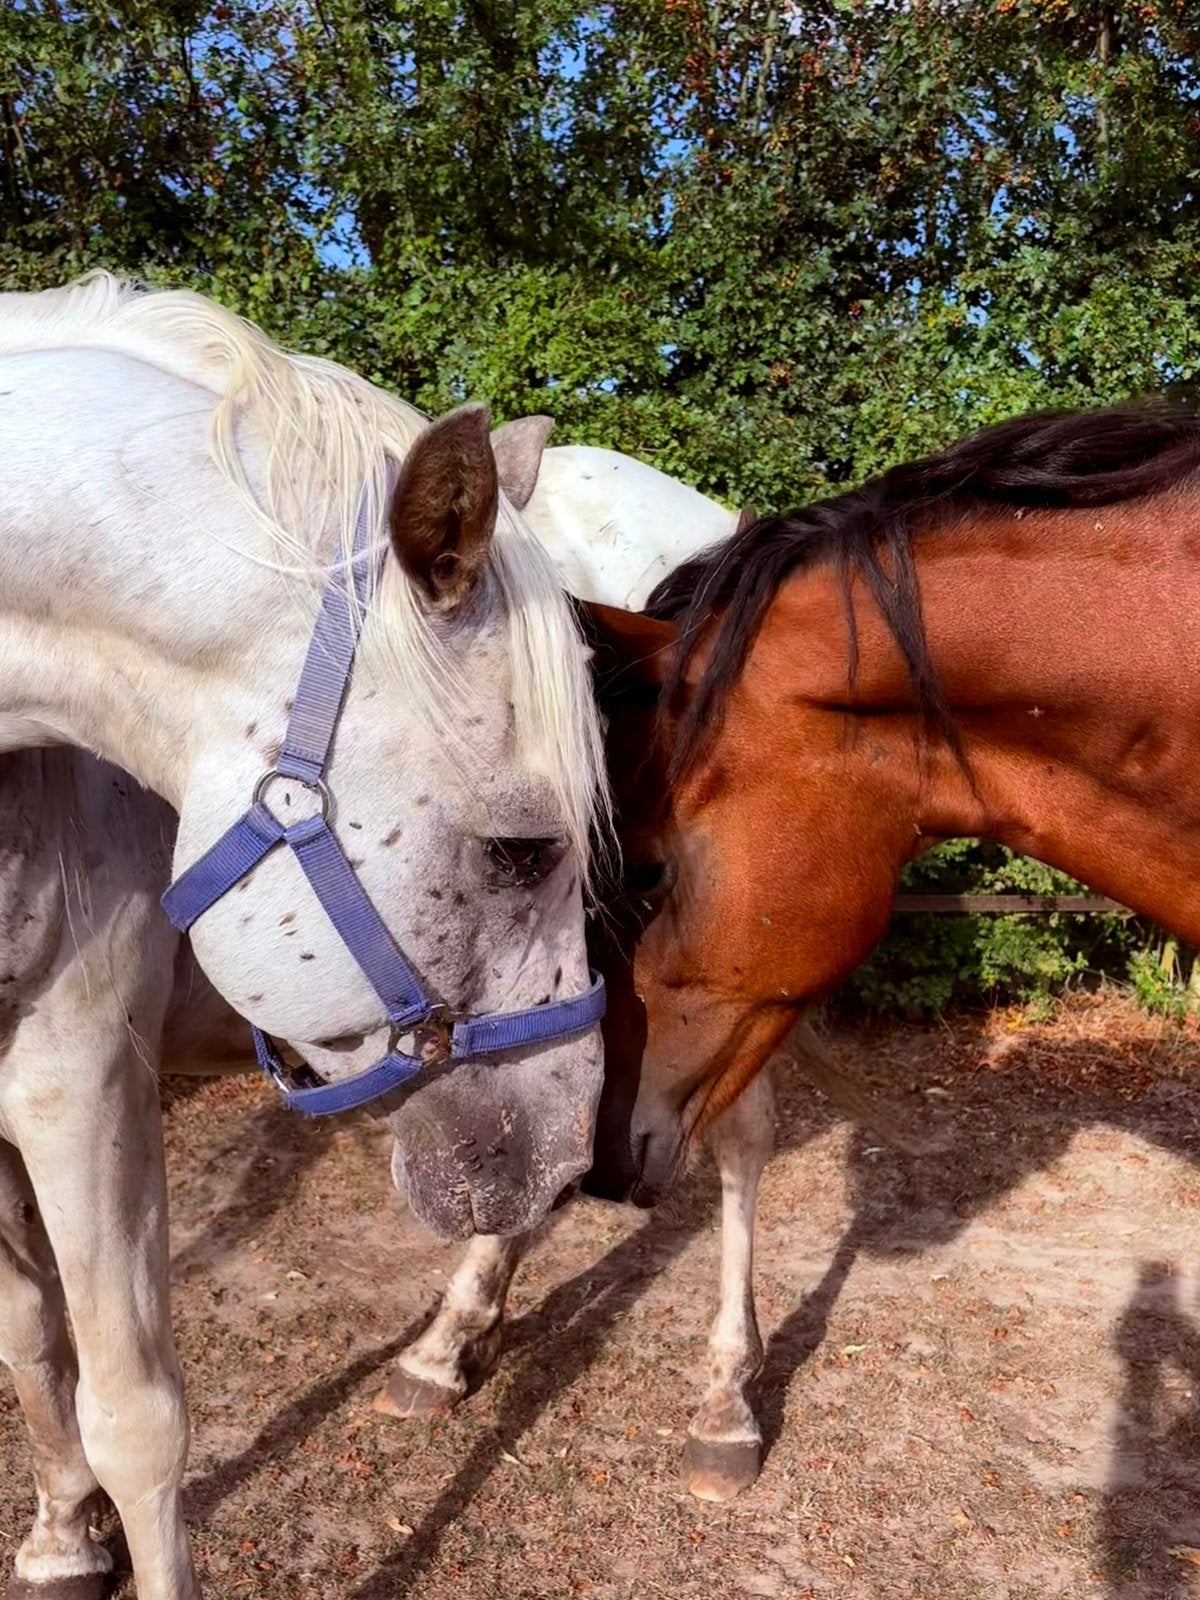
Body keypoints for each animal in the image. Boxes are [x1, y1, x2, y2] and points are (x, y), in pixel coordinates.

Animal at [0, 275, 610, 1600]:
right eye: (522, 850)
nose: (556, 1161)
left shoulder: (82, 1082)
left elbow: (139, 1417)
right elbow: (26, 1335)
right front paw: (61, 1530)